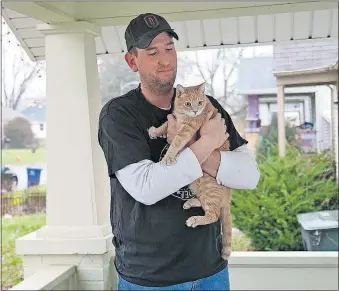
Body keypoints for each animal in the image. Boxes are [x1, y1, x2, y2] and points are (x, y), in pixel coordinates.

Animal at [149, 82, 234, 260]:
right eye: (188, 103)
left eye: (200, 103)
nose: (195, 111)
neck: (184, 114)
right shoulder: (174, 120)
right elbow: (164, 125)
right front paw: (155, 131)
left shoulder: (187, 130)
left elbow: (176, 141)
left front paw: (168, 157)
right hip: (195, 185)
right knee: (203, 203)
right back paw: (190, 202)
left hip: (209, 189)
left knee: (213, 215)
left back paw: (195, 220)